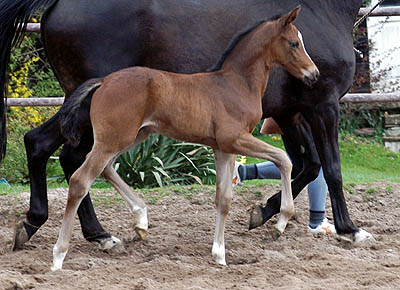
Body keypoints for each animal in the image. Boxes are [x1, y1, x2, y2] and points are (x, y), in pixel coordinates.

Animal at [52, 6, 318, 270]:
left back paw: (141, 220)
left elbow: (224, 199)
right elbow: (283, 159)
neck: (237, 84)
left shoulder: (223, 148)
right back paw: (59, 256)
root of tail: (104, 81)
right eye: (294, 43)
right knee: (80, 180)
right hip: (113, 139)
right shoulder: (235, 139)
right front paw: (280, 223)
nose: (314, 74)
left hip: (132, 136)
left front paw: (219, 254)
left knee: (106, 169)